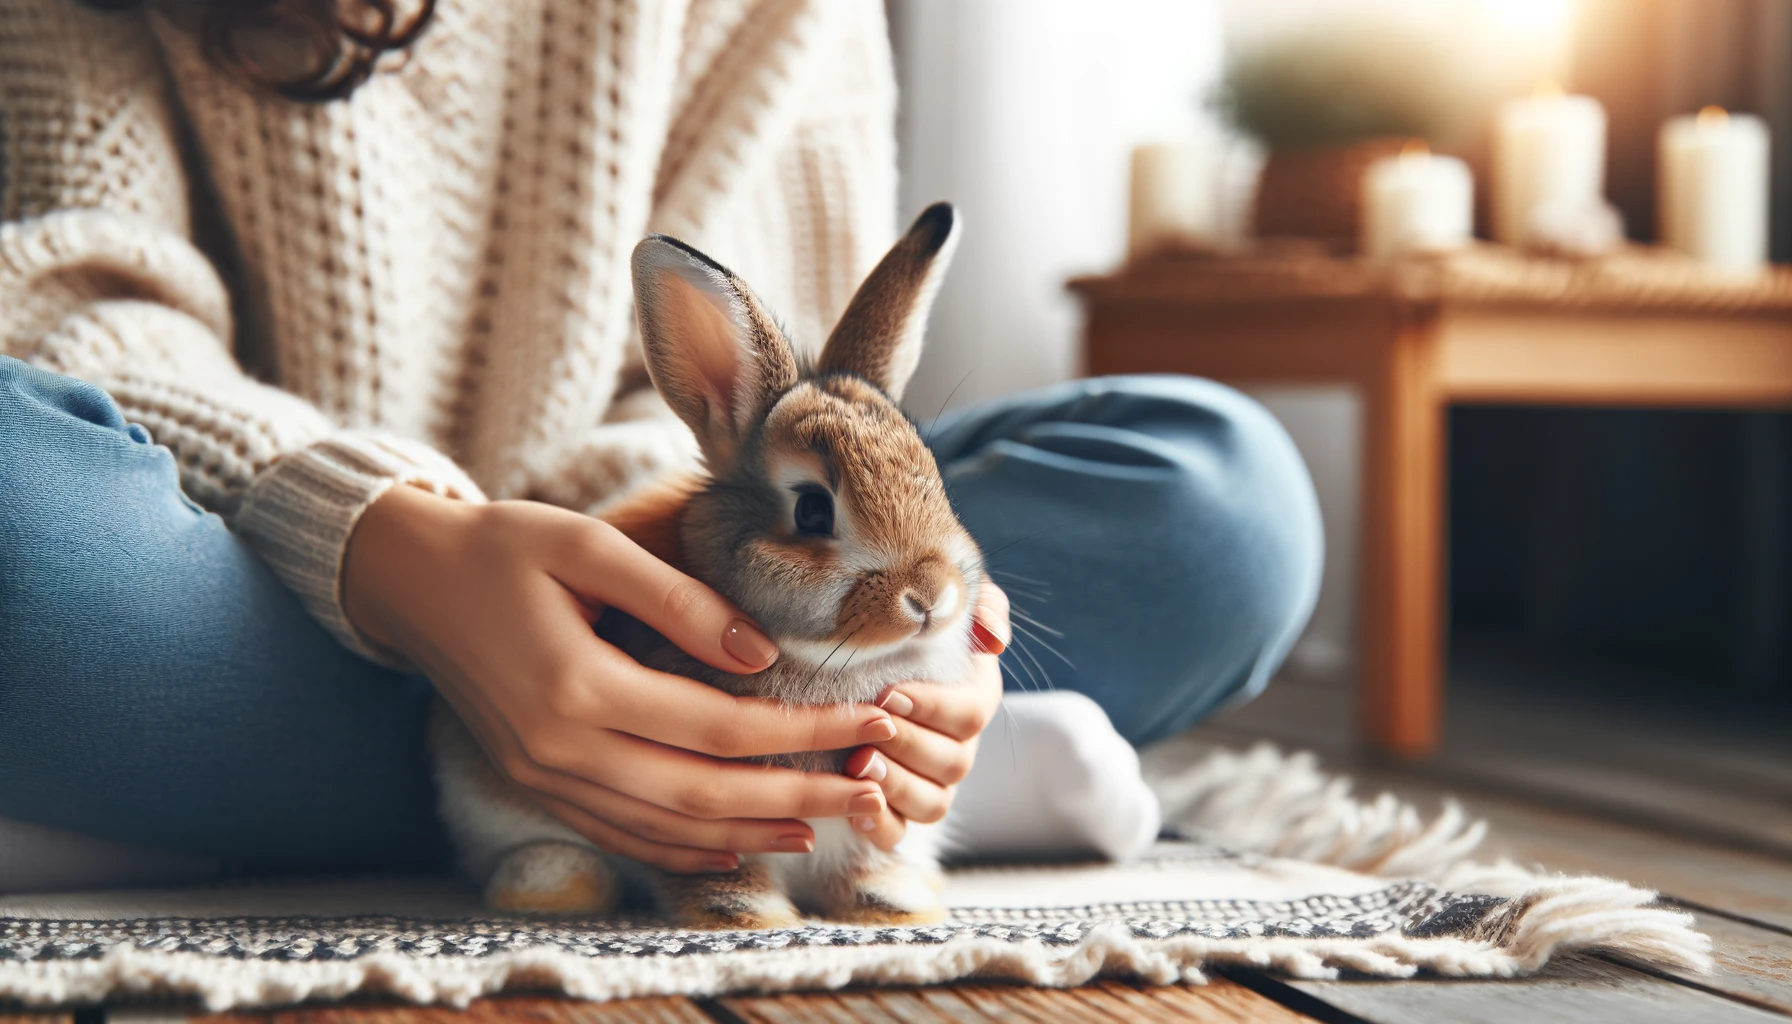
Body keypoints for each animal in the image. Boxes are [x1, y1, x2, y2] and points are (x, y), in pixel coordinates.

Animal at [430, 203, 983, 929]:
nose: (931, 596)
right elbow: (722, 868)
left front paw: (894, 907)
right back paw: (552, 886)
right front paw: (748, 917)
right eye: (812, 510)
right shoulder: (702, 825)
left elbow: (868, 862)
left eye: (935, 481)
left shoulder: (872, 820)